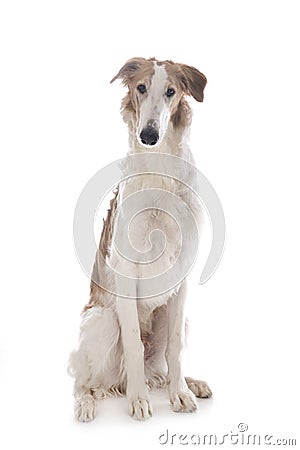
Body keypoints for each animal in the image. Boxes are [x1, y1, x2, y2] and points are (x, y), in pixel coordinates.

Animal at [68, 58, 213, 420]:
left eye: (171, 91)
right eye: (141, 88)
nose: (148, 135)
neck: (160, 169)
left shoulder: (183, 270)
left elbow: (175, 348)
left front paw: (181, 393)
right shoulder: (125, 270)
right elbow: (133, 342)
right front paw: (138, 400)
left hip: (176, 318)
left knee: (160, 367)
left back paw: (189, 383)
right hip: (102, 319)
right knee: (83, 380)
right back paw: (88, 402)